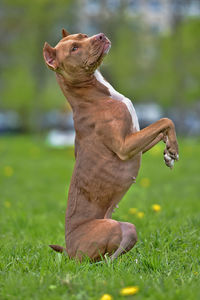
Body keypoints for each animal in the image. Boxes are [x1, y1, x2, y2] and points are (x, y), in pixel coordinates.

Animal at [43, 29, 179, 262]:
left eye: (83, 35)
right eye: (74, 48)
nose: (99, 35)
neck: (91, 92)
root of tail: (70, 251)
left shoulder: (136, 141)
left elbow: (161, 128)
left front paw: (168, 152)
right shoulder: (125, 147)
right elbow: (165, 120)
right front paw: (174, 149)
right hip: (118, 227)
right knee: (106, 259)